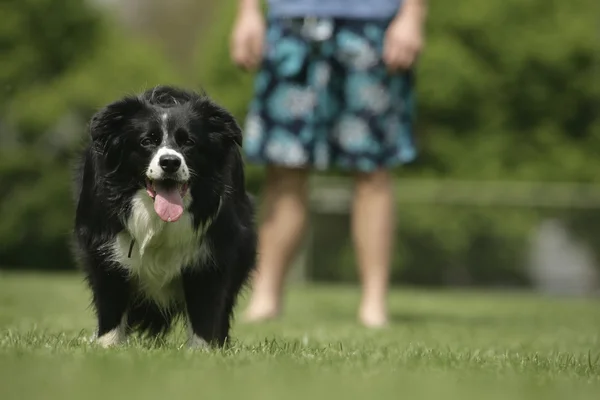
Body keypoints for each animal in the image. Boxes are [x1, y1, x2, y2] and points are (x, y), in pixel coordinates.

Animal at [71, 86, 256, 348]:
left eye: (188, 142)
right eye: (147, 141)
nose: (170, 162)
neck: (155, 218)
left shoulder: (211, 254)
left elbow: (206, 310)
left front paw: (203, 351)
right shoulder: (102, 247)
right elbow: (110, 303)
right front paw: (107, 347)